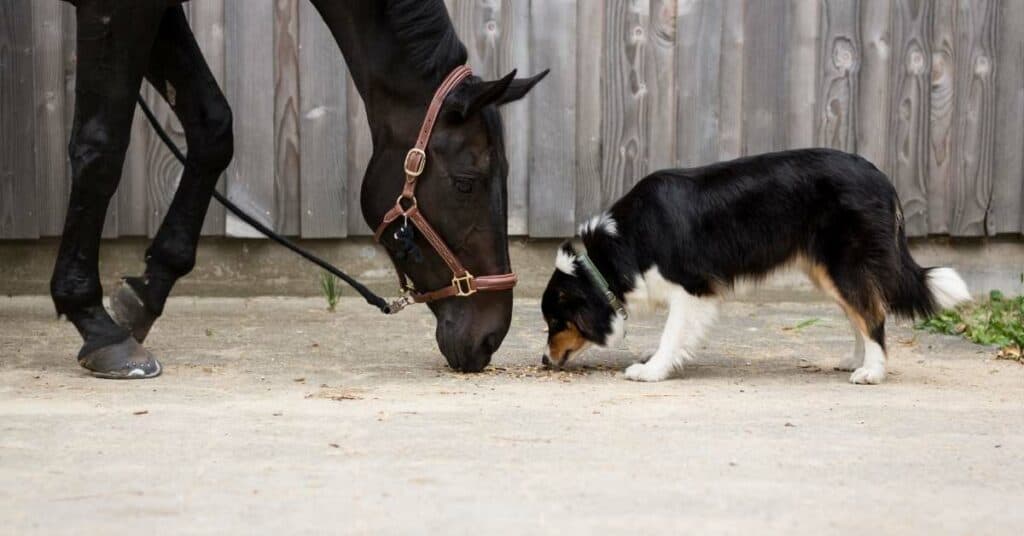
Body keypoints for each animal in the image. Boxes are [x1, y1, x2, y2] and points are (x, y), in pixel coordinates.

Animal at [49, 0, 544, 379]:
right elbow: (100, 150)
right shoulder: (118, 9)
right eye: (465, 183)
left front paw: (144, 296)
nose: (491, 336)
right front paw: (97, 325)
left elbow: (213, 128)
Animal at [540, 148, 970, 383]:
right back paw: (856, 359)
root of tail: (884, 180)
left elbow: (672, 335)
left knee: (873, 314)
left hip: (845, 264)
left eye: (557, 322)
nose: (544, 361)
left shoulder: (692, 289)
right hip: (828, 271)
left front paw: (652, 370)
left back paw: (872, 372)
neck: (615, 250)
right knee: (860, 312)